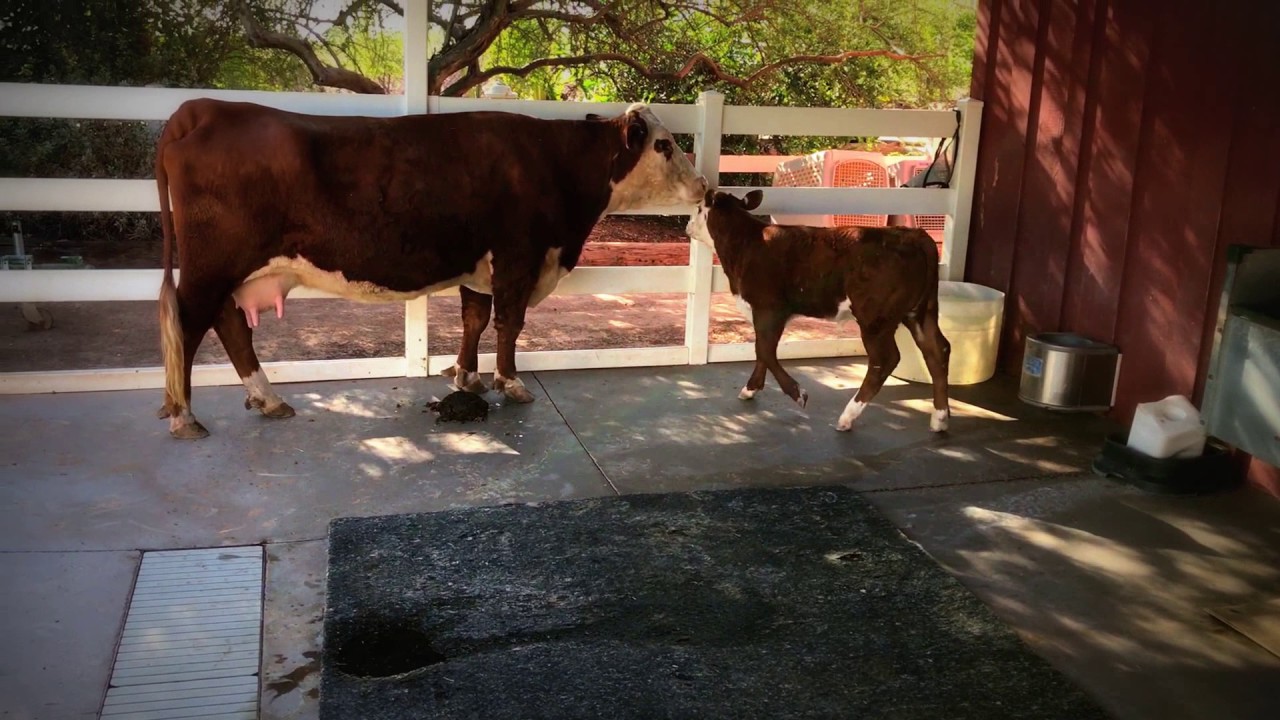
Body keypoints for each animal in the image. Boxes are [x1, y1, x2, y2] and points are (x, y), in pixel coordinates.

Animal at [155, 99, 707, 439]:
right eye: (663, 144)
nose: (704, 185)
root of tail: (202, 108)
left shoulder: (481, 267)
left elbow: (474, 320)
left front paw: (466, 376)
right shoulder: (517, 258)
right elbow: (509, 324)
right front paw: (510, 383)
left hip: (229, 271)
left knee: (228, 324)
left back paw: (267, 399)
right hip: (210, 267)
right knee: (190, 323)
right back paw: (184, 416)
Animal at [686, 189, 951, 432]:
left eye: (698, 209)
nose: (687, 225)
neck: (747, 242)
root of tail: (914, 235)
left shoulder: (769, 308)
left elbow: (765, 350)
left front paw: (797, 393)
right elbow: (762, 349)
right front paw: (750, 389)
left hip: (875, 318)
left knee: (884, 360)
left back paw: (847, 416)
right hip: (921, 312)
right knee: (938, 350)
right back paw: (940, 418)